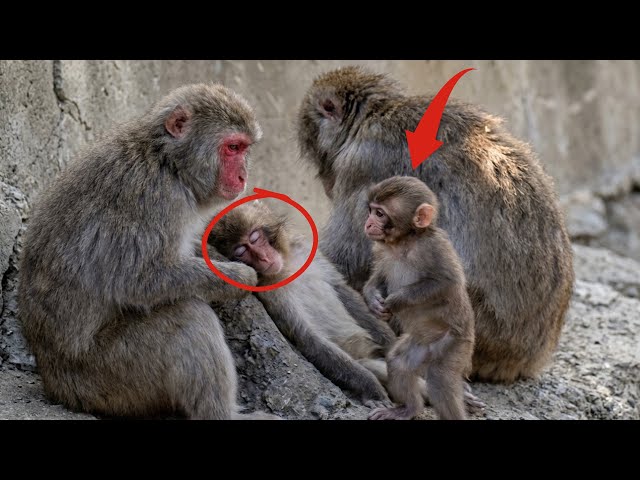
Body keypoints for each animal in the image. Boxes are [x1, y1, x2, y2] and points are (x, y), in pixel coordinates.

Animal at [18, 83, 280, 420]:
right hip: (112, 374)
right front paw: (239, 276)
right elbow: (141, 280)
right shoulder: (156, 198)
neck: (167, 161)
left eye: (245, 149)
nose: (243, 176)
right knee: (189, 317)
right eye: (233, 147)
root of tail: (54, 383)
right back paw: (222, 414)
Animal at [208, 200, 395, 407]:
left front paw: (393, 345)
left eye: (255, 238)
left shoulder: (306, 250)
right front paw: (372, 389)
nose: (264, 258)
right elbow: (309, 337)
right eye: (241, 252)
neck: (287, 266)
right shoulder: (270, 293)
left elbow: (341, 289)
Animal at [297, 66, 574, 384]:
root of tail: (525, 360)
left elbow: (347, 255)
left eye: (319, 158)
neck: (378, 113)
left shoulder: (367, 165)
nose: (326, 183)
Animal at [362, 176, 475, 420]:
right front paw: (373, 300)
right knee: (398, 362)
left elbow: (445, 282)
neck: (403, 242)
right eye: (371, 210)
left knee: (440, 379)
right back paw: (408, 409)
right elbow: (379, 277)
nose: (368, 223)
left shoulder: (434, 247)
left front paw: (395, 301)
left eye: (380, 214)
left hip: (455, 344)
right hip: (419, 346)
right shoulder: (381, 250)